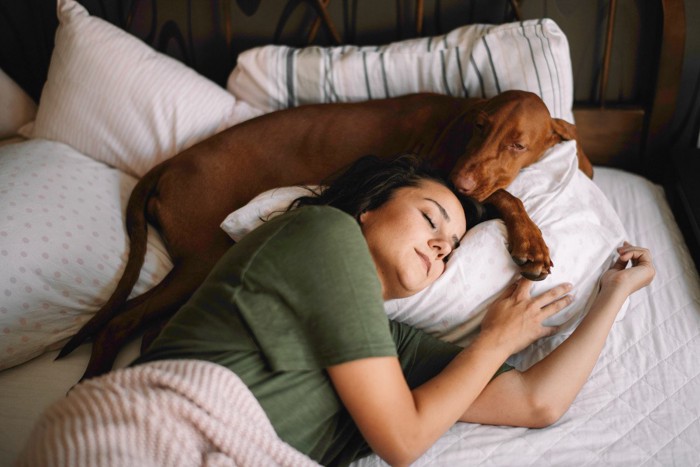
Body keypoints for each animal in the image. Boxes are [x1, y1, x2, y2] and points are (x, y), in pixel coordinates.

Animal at [58, 89, 592, 378]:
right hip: (203, 259)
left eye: (517, 144)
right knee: (121, 323)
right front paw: (530, 243)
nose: (460, 180)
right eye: (479, 127)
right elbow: (505, 196)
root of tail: (171, 162)